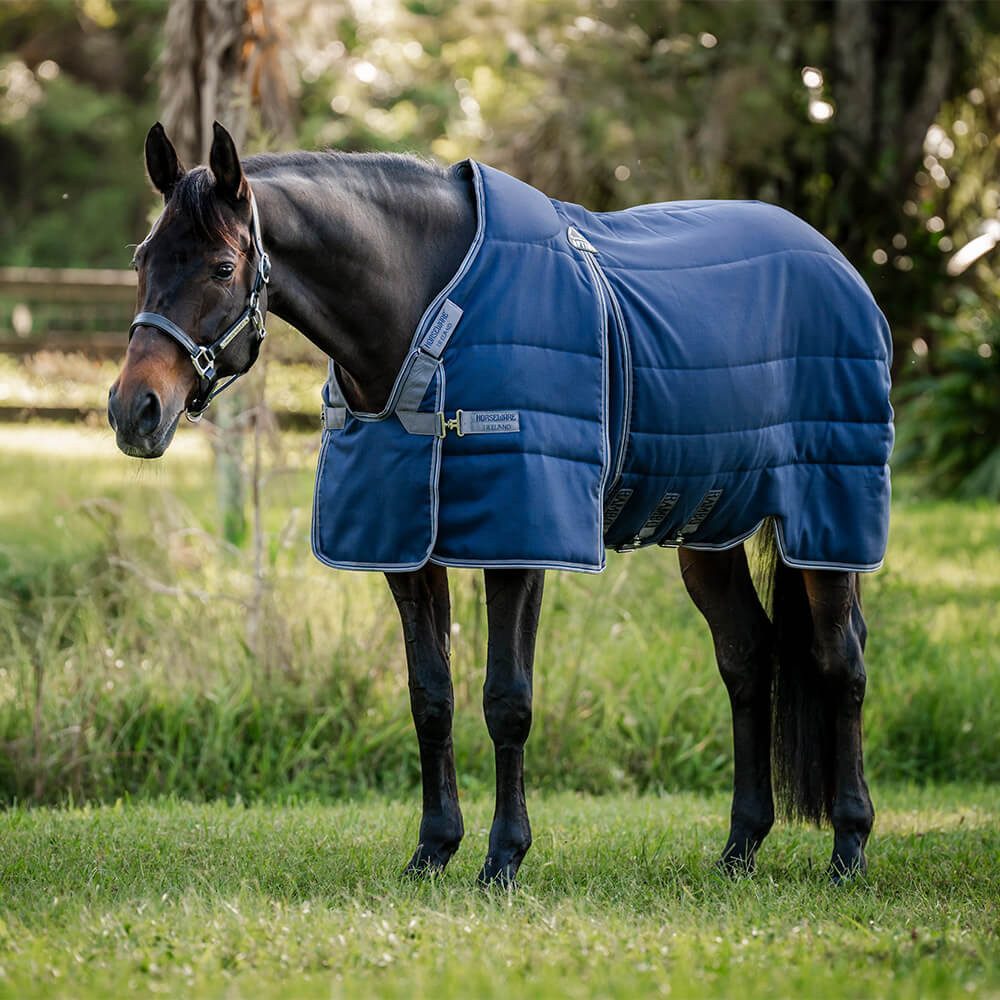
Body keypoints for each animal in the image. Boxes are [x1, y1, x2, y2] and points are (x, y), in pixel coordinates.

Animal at [109, 121, 892, 884]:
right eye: (142, 259)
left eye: (221, 267)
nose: (133, 410)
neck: (429, 317)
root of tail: (838, 264)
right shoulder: (408, 549)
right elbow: (431, 698)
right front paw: (433, 850)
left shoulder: (520, 541)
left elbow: (507, 701)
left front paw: (503, 857)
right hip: (710, 530)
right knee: (747, 659)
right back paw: (740, 849)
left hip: (827, 521)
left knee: (841, 661)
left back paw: (849, 848)